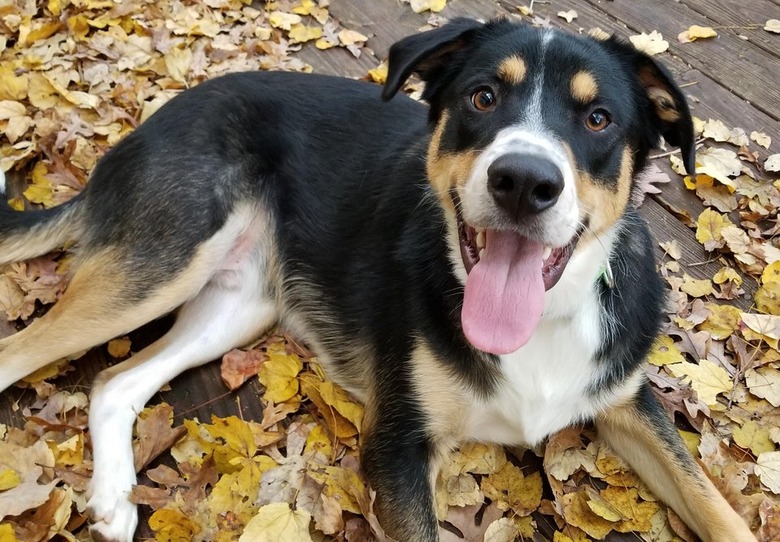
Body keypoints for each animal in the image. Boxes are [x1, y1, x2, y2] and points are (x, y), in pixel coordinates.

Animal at [0, 17, 756, 542]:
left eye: (599, 119)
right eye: (483, 97)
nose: (523, 182)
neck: (541, 322)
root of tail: (148, 123)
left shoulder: (627, 399)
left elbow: (716, 506)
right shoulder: (396, 448)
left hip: (236, 304)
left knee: (113, 384)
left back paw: (113, 500)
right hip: (166, 258)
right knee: (23, 353)